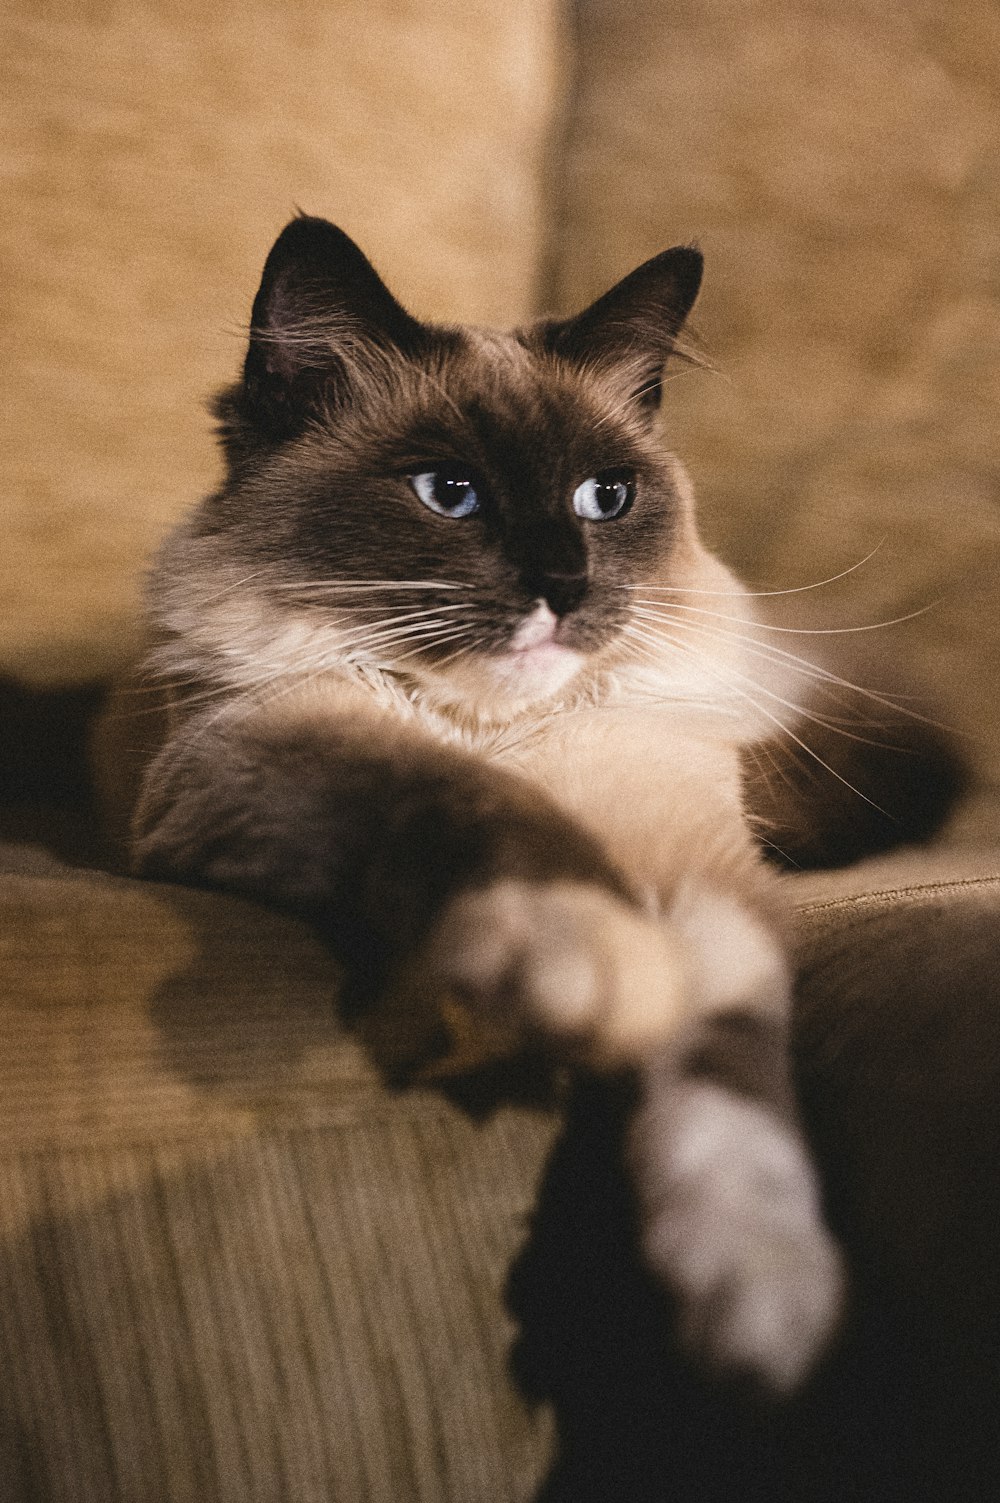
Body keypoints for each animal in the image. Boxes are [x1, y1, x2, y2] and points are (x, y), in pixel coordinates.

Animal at [128, 211, 848, 1394]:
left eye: (607, 498)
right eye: (447, 493)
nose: (562, 584)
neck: (500, 728)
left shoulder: (697, 864)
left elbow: (729, 1066)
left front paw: (757, 1303)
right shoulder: (265, 752)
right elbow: (470, 799)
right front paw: (589, 961)